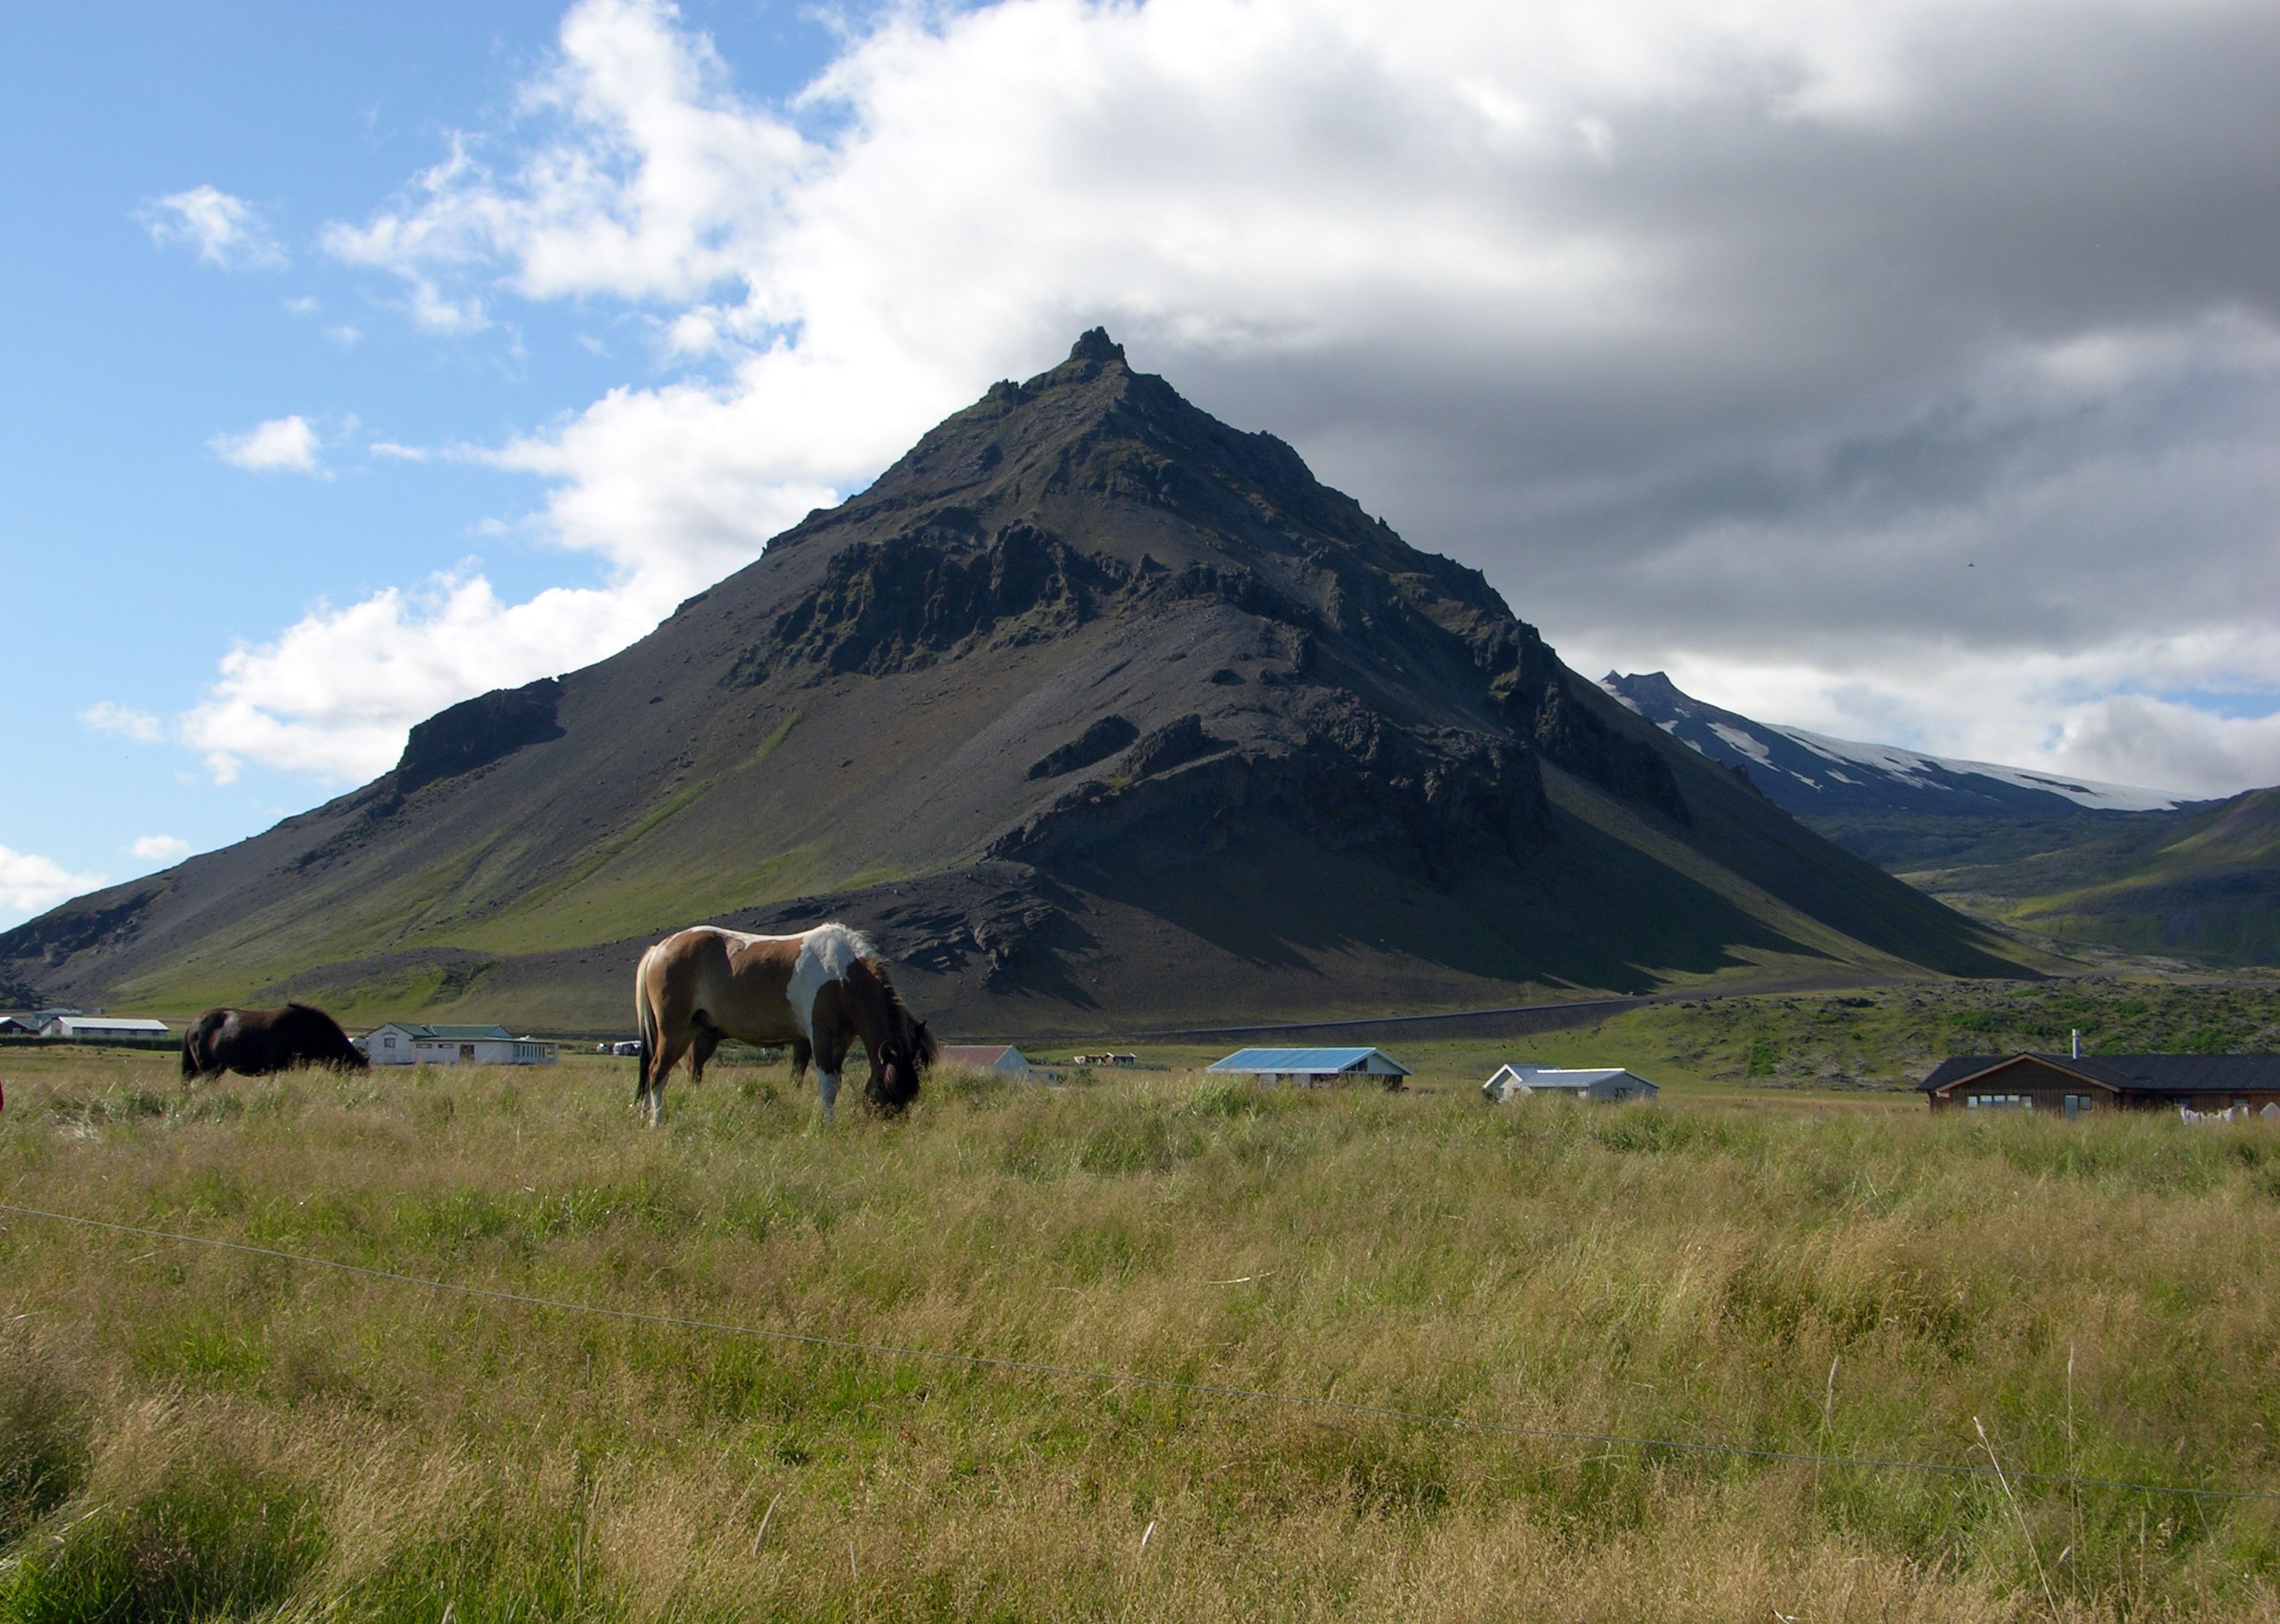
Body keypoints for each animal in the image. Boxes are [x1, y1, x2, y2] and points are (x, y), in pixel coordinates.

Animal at [629, 926, 930, 1131]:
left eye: (910, 1096)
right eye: (885, 1090)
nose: (888, 1132)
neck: (842, 975)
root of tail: (659, 949)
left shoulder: (842, 1040)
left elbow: (834, 1083)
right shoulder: (820, 1036)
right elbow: (827, 1085)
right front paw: (827, 1127)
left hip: (691, 1030)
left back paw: (644, 1117)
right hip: (674, 1031)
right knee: (656, 1072)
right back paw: (656, 1123)